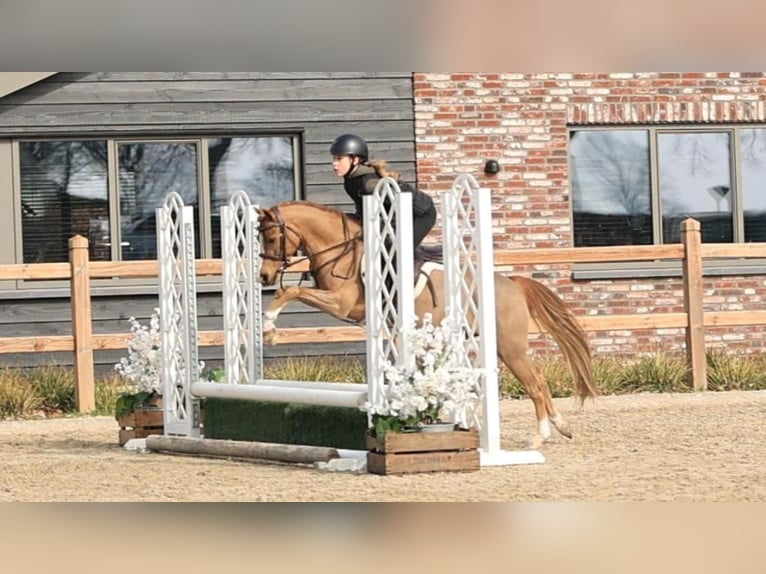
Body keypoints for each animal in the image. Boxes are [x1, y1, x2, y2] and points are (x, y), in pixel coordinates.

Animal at [256, 200, 598, 448]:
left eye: (272, 238)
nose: (264, 277)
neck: (340, 249)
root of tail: (512, 283)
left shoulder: (343, 303)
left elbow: (293, 291)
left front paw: (269, 328)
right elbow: (293, 291)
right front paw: (269, 326)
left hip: (509, 348)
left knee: (535, 383)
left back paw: (540, 436)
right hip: (502, 347)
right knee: (539, 379)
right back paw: (562, 427)